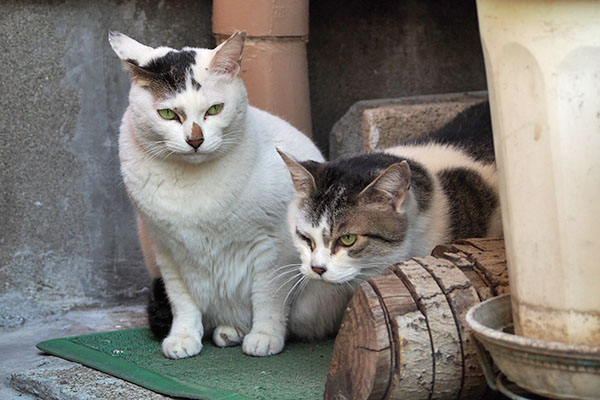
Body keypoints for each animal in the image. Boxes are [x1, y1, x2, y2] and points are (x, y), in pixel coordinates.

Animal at [108, 29, 324, 358]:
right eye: (168, 113)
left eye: (214, 110)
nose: (195, 140)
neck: (193, 187)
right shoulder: (167, 252)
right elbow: (182, 301)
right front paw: (183, 338)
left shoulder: (274, 247)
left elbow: (269, 297)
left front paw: (264, 337)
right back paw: (226, 331)